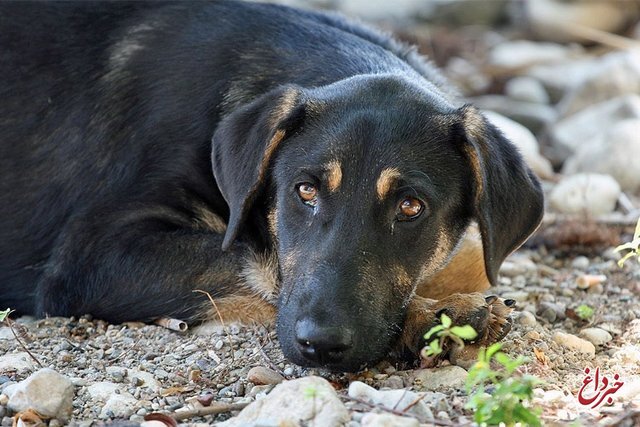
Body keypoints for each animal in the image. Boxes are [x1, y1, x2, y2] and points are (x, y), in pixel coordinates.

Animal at [0, 0, 544, 372]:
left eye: (411, 207)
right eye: (305, 191)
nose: (320, 345)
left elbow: (468, 257)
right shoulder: (91, 255)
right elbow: (254, 262)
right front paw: (436, 315)